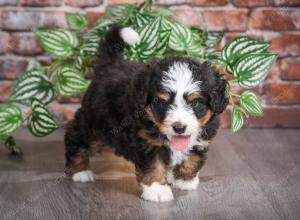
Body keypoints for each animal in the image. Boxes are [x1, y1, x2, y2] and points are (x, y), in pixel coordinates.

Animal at [65, 26, 229, 203]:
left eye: (196, 103)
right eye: (162, 102)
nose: (179, 128)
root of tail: (110, 65)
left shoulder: (201, 138)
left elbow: (192, 159)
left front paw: (185, 180)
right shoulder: (147, 143)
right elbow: (154, 166)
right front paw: (157, 190)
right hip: (94, 123)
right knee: (76, 138)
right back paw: (80, 171)